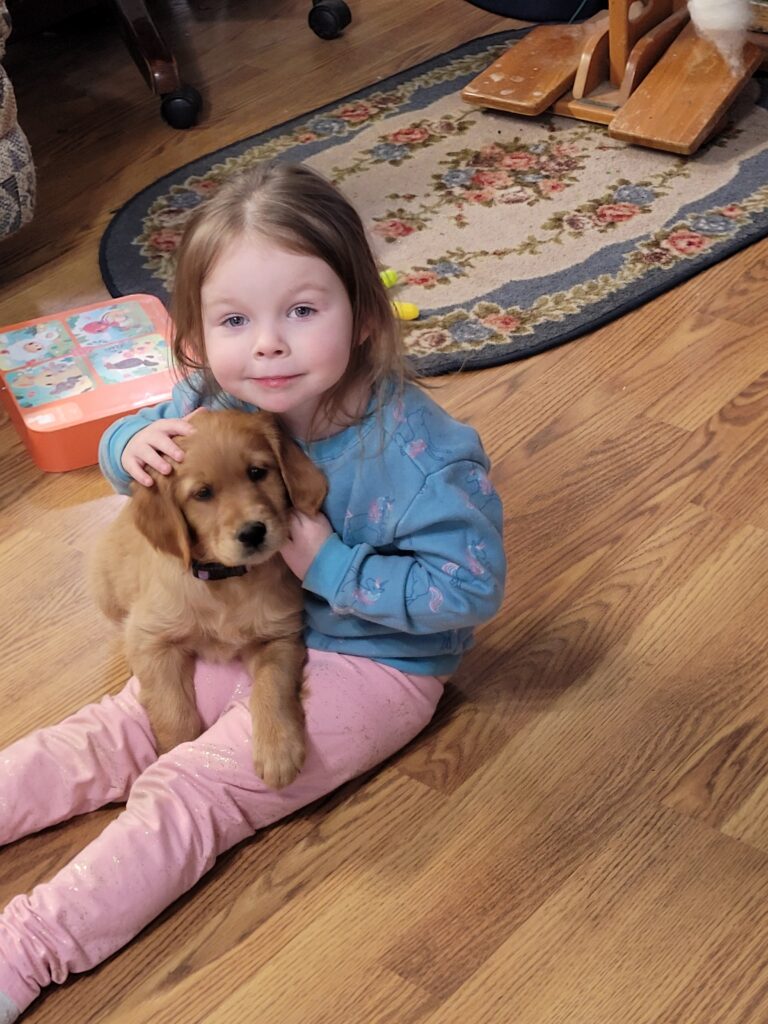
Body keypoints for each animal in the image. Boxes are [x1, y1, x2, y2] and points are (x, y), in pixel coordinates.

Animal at [89, 408, 327, 789]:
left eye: (257, 472)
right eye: (202, 494)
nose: (253, 532)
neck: (228, 581)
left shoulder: (280, 635)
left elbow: (272, 685)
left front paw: (279, 748)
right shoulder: (151, 638)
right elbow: (172, 709)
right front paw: (176, 746)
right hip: (105, 588)